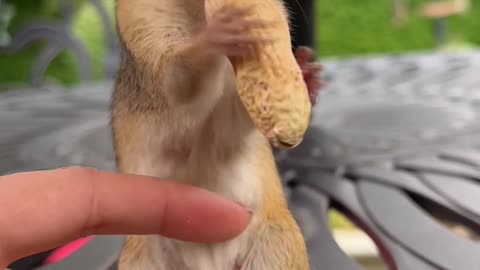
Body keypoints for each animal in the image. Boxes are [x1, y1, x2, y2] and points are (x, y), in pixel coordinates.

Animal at [110, 0, 324, 268]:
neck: (197, 13)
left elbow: (235, 119)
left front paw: (307, 74)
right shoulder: (143, 31)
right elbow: (178, 82)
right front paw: (220, 33)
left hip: (276, 244)